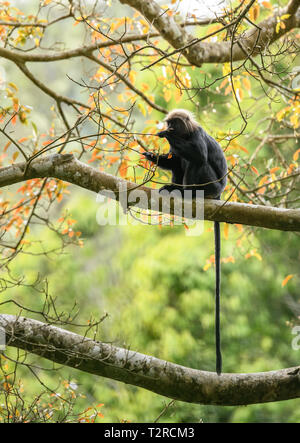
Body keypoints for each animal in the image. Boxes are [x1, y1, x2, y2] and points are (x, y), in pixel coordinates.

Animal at [142, 109, 227, 376]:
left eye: (173, 123)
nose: (168, 126)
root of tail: (219, 193)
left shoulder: (196, 135)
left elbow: (198, 154)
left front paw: (165, 135)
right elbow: (172, 160)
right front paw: (151, 154)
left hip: (209, 184)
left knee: (195, 162)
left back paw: (188, 193)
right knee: (180, 162)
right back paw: (174, 188)